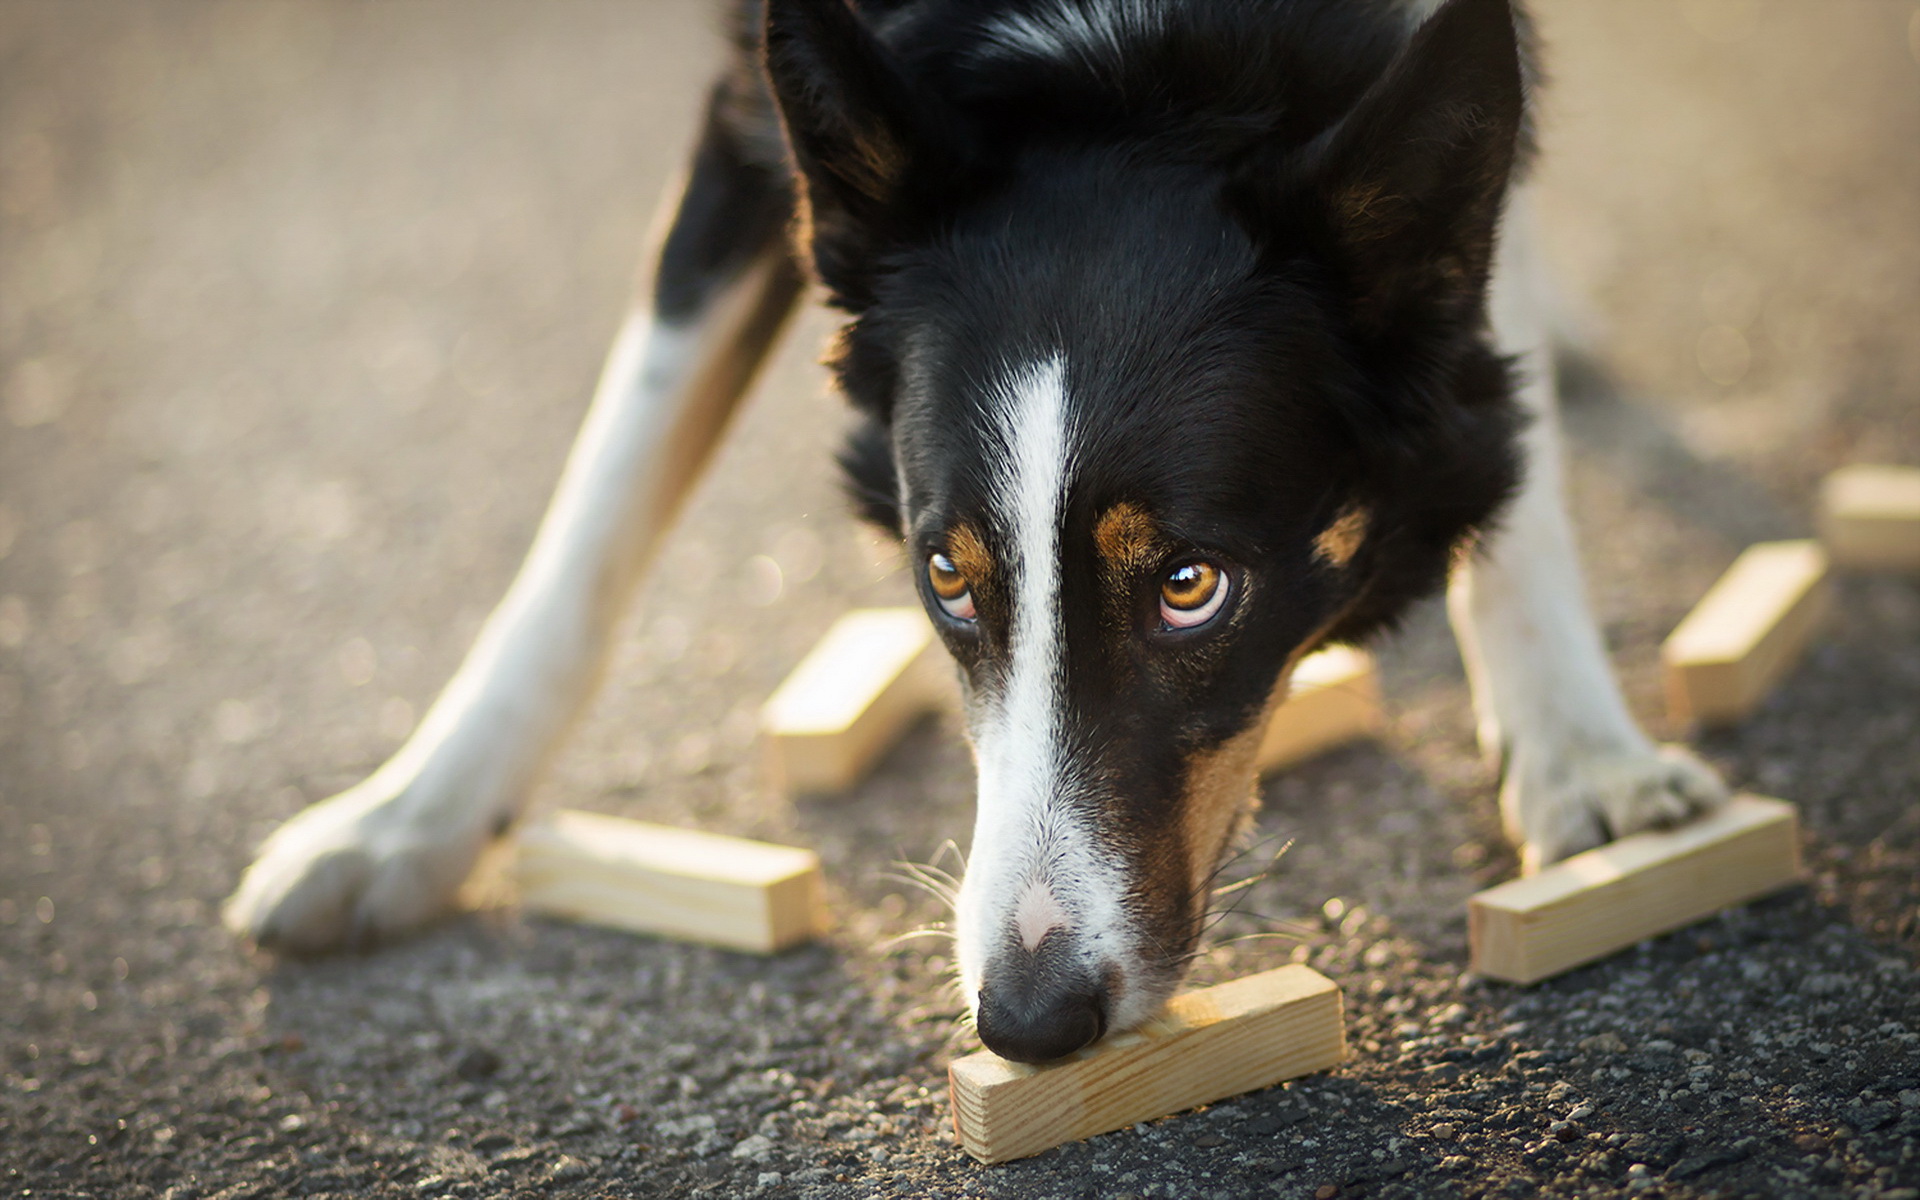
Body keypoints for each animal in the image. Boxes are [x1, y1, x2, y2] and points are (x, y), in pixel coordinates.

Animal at [224, 0, 1728, 1067]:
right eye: (945, 575)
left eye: (1192, 585)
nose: (1028, 1022)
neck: (1135, 71)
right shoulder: (736, 119)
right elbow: (596, 507)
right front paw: (406, 821)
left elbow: (1501, 431)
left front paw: (1584, 757)